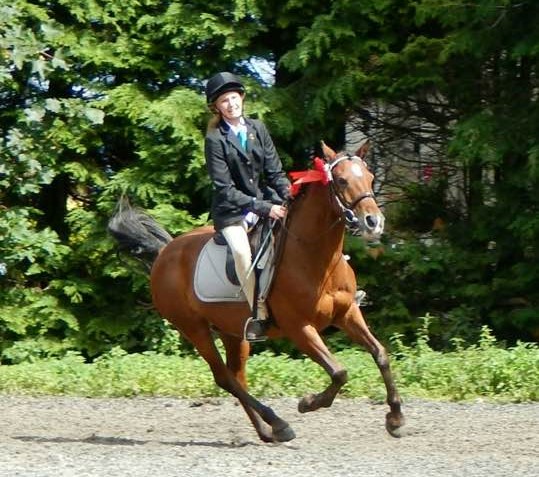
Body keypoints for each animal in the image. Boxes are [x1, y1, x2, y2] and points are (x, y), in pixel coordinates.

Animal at [108, 141, 404, 442]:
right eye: (342, 180)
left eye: (370, 177)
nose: (373, 222)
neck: (316, 257)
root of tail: (165, 253)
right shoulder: (299, 327)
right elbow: (339, 372)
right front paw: (308, 403)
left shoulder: (347, 313)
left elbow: (380, 354)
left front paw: (395, 418)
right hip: (194, 328)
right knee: (224, 377)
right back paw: (278, 424)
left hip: (233, 332)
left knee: (236, 375)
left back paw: (267, 430)